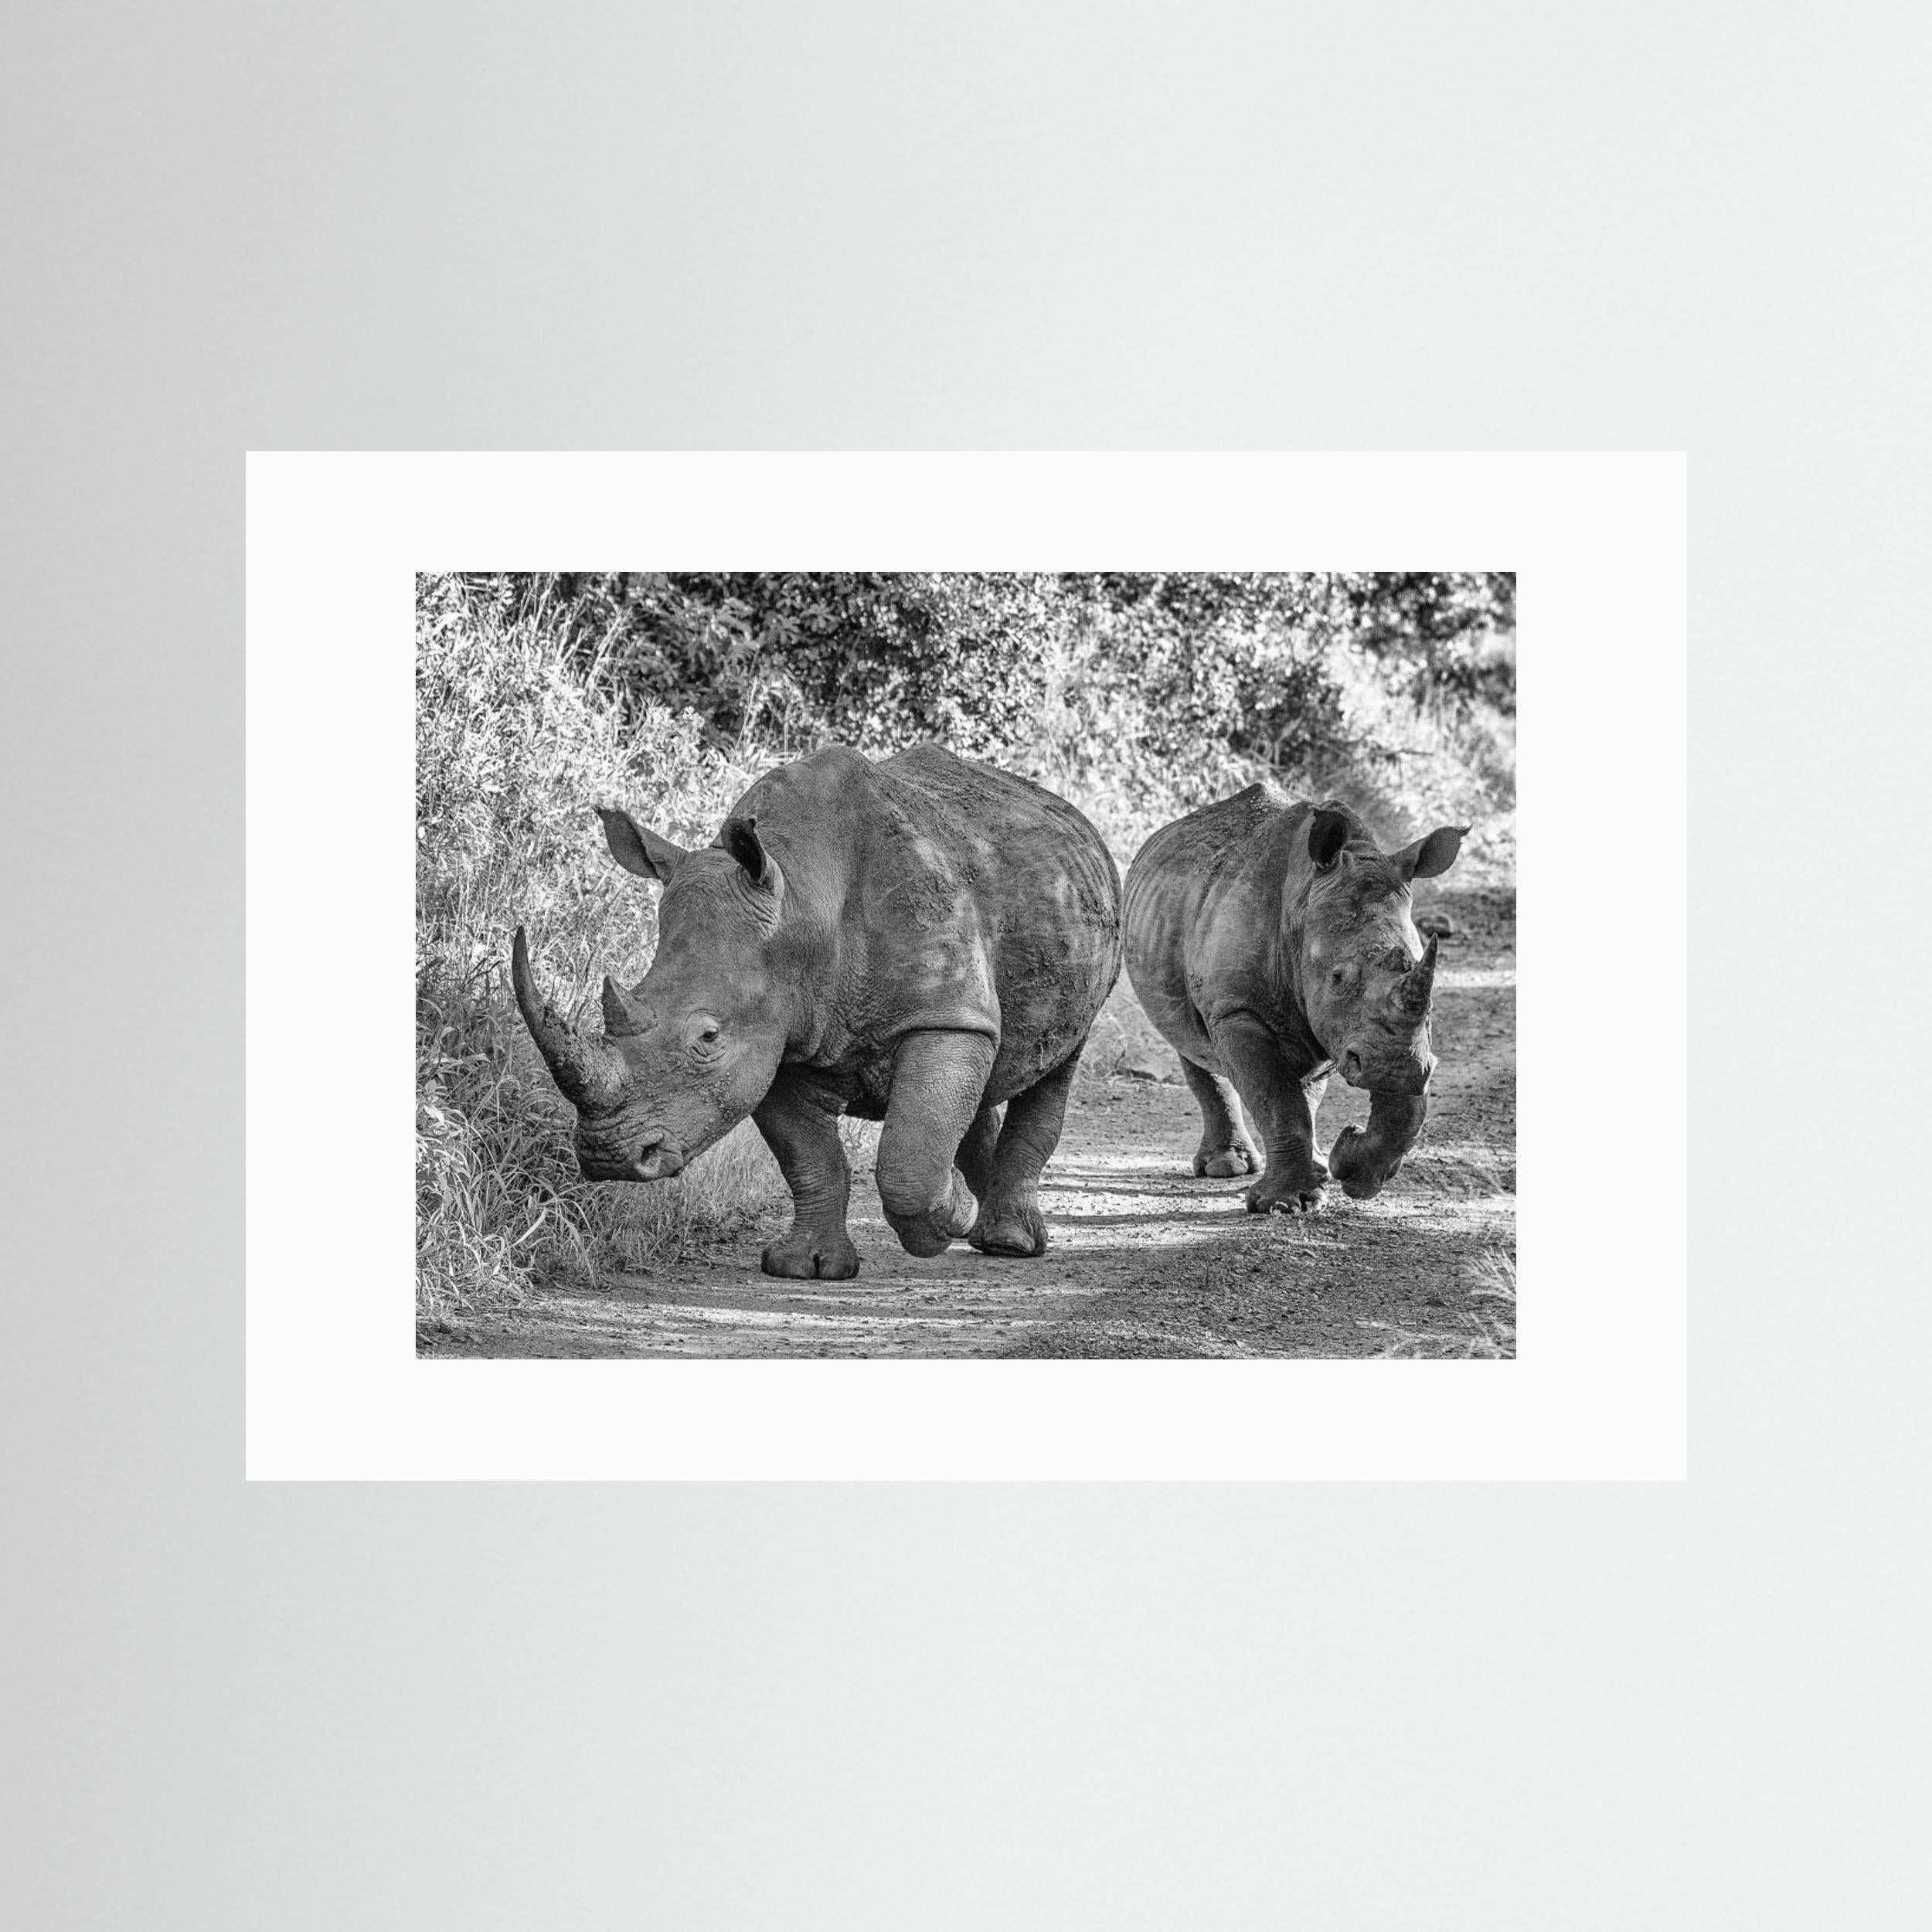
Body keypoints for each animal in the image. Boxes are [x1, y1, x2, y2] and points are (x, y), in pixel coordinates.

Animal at [511, 742, 1122, 1278]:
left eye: (708, 1038)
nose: (608, 1155)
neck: (802, 902)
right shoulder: (777, 1034)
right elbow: (809, 1158)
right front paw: (806, 1267)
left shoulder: (941, 1012)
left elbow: (909, 1160)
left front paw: (945, 1216)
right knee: (992, 1064)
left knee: (1055, 1063)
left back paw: (1007, 1242)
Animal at [1122, 787, 1467, 1213]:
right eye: (1338, 978)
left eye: (1429, 996)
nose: (1398, 1068)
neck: (1302, 903)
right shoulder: (1237, 1009)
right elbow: (1275, 1098)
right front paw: (1285, 1204)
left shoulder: (1350, 1030)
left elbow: (1375, 1108)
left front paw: (1347, 1167)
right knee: (1189, 1042)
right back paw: (1226, 1168)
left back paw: (1313, 1165)